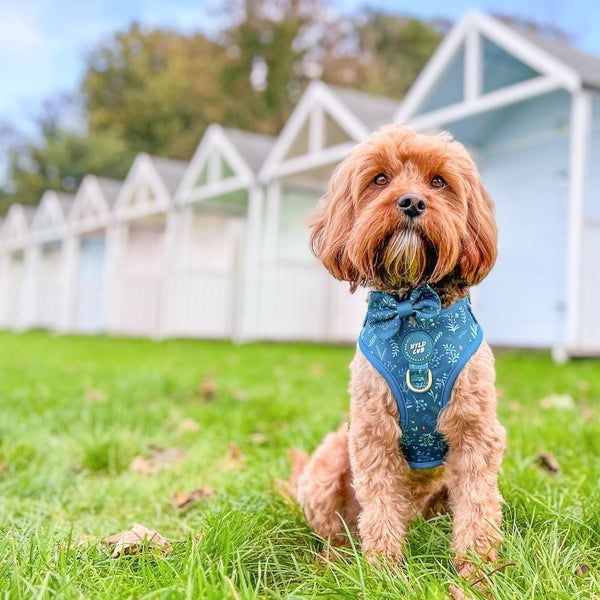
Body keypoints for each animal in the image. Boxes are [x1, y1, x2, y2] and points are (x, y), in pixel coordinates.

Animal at [296, 125, 506, 596]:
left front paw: (477, 575)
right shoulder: (372, 435)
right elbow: (379, 511)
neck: (412, 309)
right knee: (338, 530)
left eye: (439, 182)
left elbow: (479, 509)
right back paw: (333, 562)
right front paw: (385, 574)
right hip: (327, 464)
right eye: (379, 180)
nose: (411, 202)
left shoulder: (476, 433)